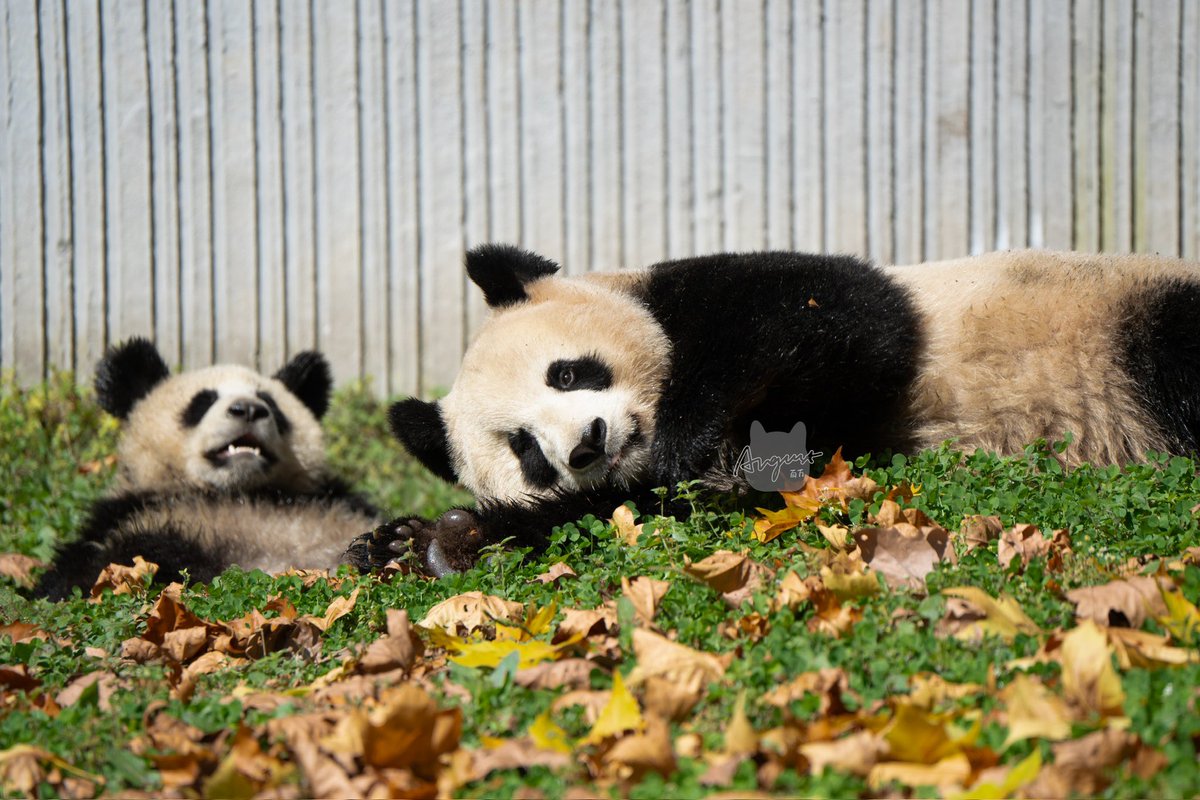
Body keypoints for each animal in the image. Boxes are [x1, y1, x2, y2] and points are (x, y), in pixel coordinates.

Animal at [36, 338, 382, 600]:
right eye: (203, 401)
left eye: (269, 401)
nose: (249, 409)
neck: (239, 491)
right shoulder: (126, 511)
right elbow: (81, 575)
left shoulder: (331, 499)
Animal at [345, 245, 1200, 577]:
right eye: (525, 449)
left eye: (567, 371)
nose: (587, 445)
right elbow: (641, 505)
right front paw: (417, 540)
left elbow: (830, 313)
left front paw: (691, 437)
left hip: (1127, 314)